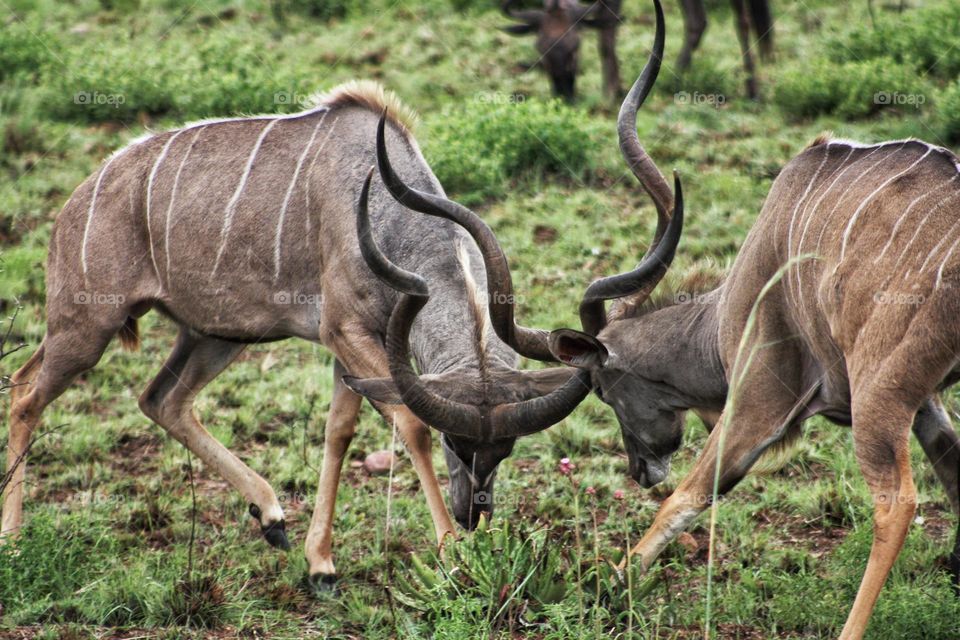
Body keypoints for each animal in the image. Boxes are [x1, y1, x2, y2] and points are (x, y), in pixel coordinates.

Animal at [1, 80, 584, 592]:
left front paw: (321, 564)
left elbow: (338, 432)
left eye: (504, 451)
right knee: (26, 392)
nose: (471, 517)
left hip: (215, 335)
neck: (387, 215)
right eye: (453, 442)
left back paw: (272, 516)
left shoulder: (353, 348)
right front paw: (449, 554)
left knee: (161, 399)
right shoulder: (345, 330)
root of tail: (74, 205)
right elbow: (408, 423)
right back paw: (14, 540)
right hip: (86, 326)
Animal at [358, 3, 960, 636]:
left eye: (603, 390)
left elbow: (689, 496)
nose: (640, 468)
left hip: (878, 395)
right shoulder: (925, 403)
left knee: (896, 501)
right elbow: (953, 468)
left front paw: (606, 586)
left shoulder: (761, 397)